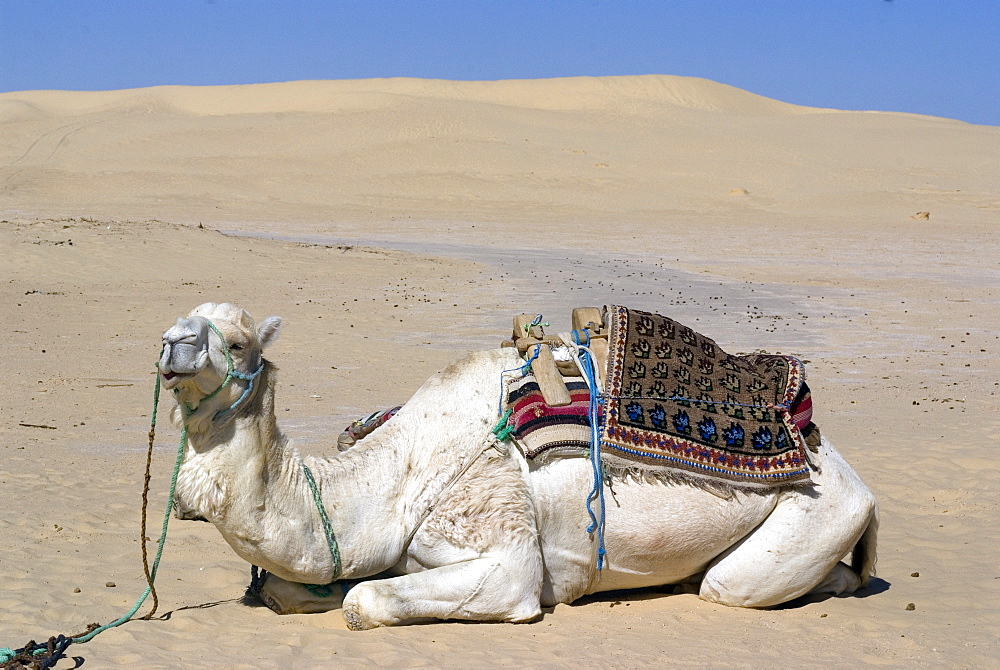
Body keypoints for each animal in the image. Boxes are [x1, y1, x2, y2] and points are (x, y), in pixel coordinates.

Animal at [156, 304, 876, 632]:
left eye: (238, 341)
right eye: (180, 319)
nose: (172, 346)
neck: (397, 478)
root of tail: (828, 452)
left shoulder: (505, 555)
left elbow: (363, 602)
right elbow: (288, 588)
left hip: (819, 507)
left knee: (732, 585)